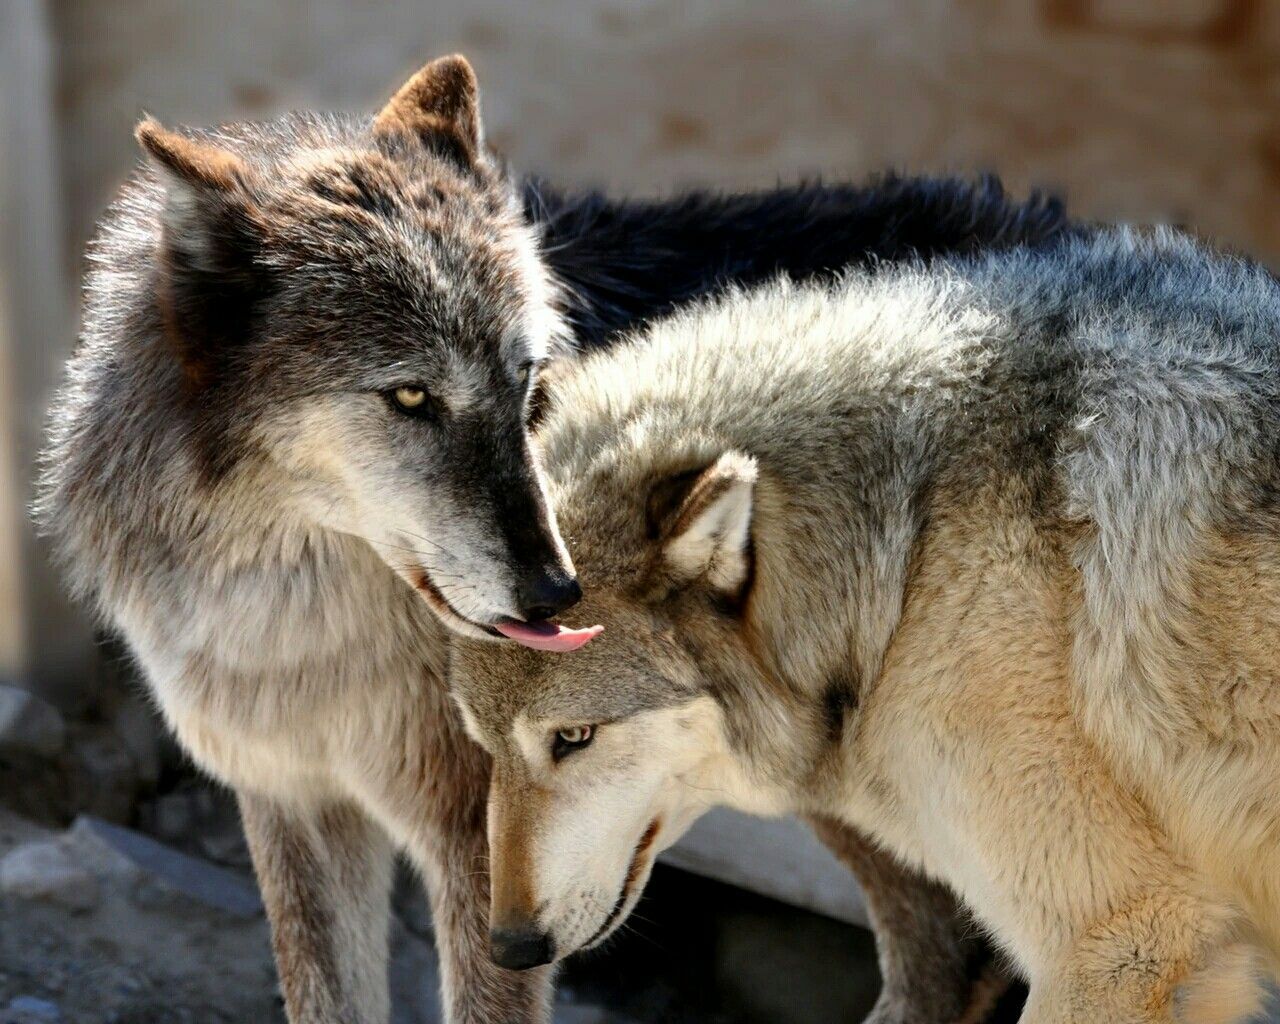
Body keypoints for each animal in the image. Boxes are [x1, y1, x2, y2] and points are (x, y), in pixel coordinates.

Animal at [35, 51, 1072, 1023]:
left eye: (528, 381)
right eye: (410, 396)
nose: (558, 594)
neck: (295, 615)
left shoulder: (482, 833)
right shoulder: (293, 801)